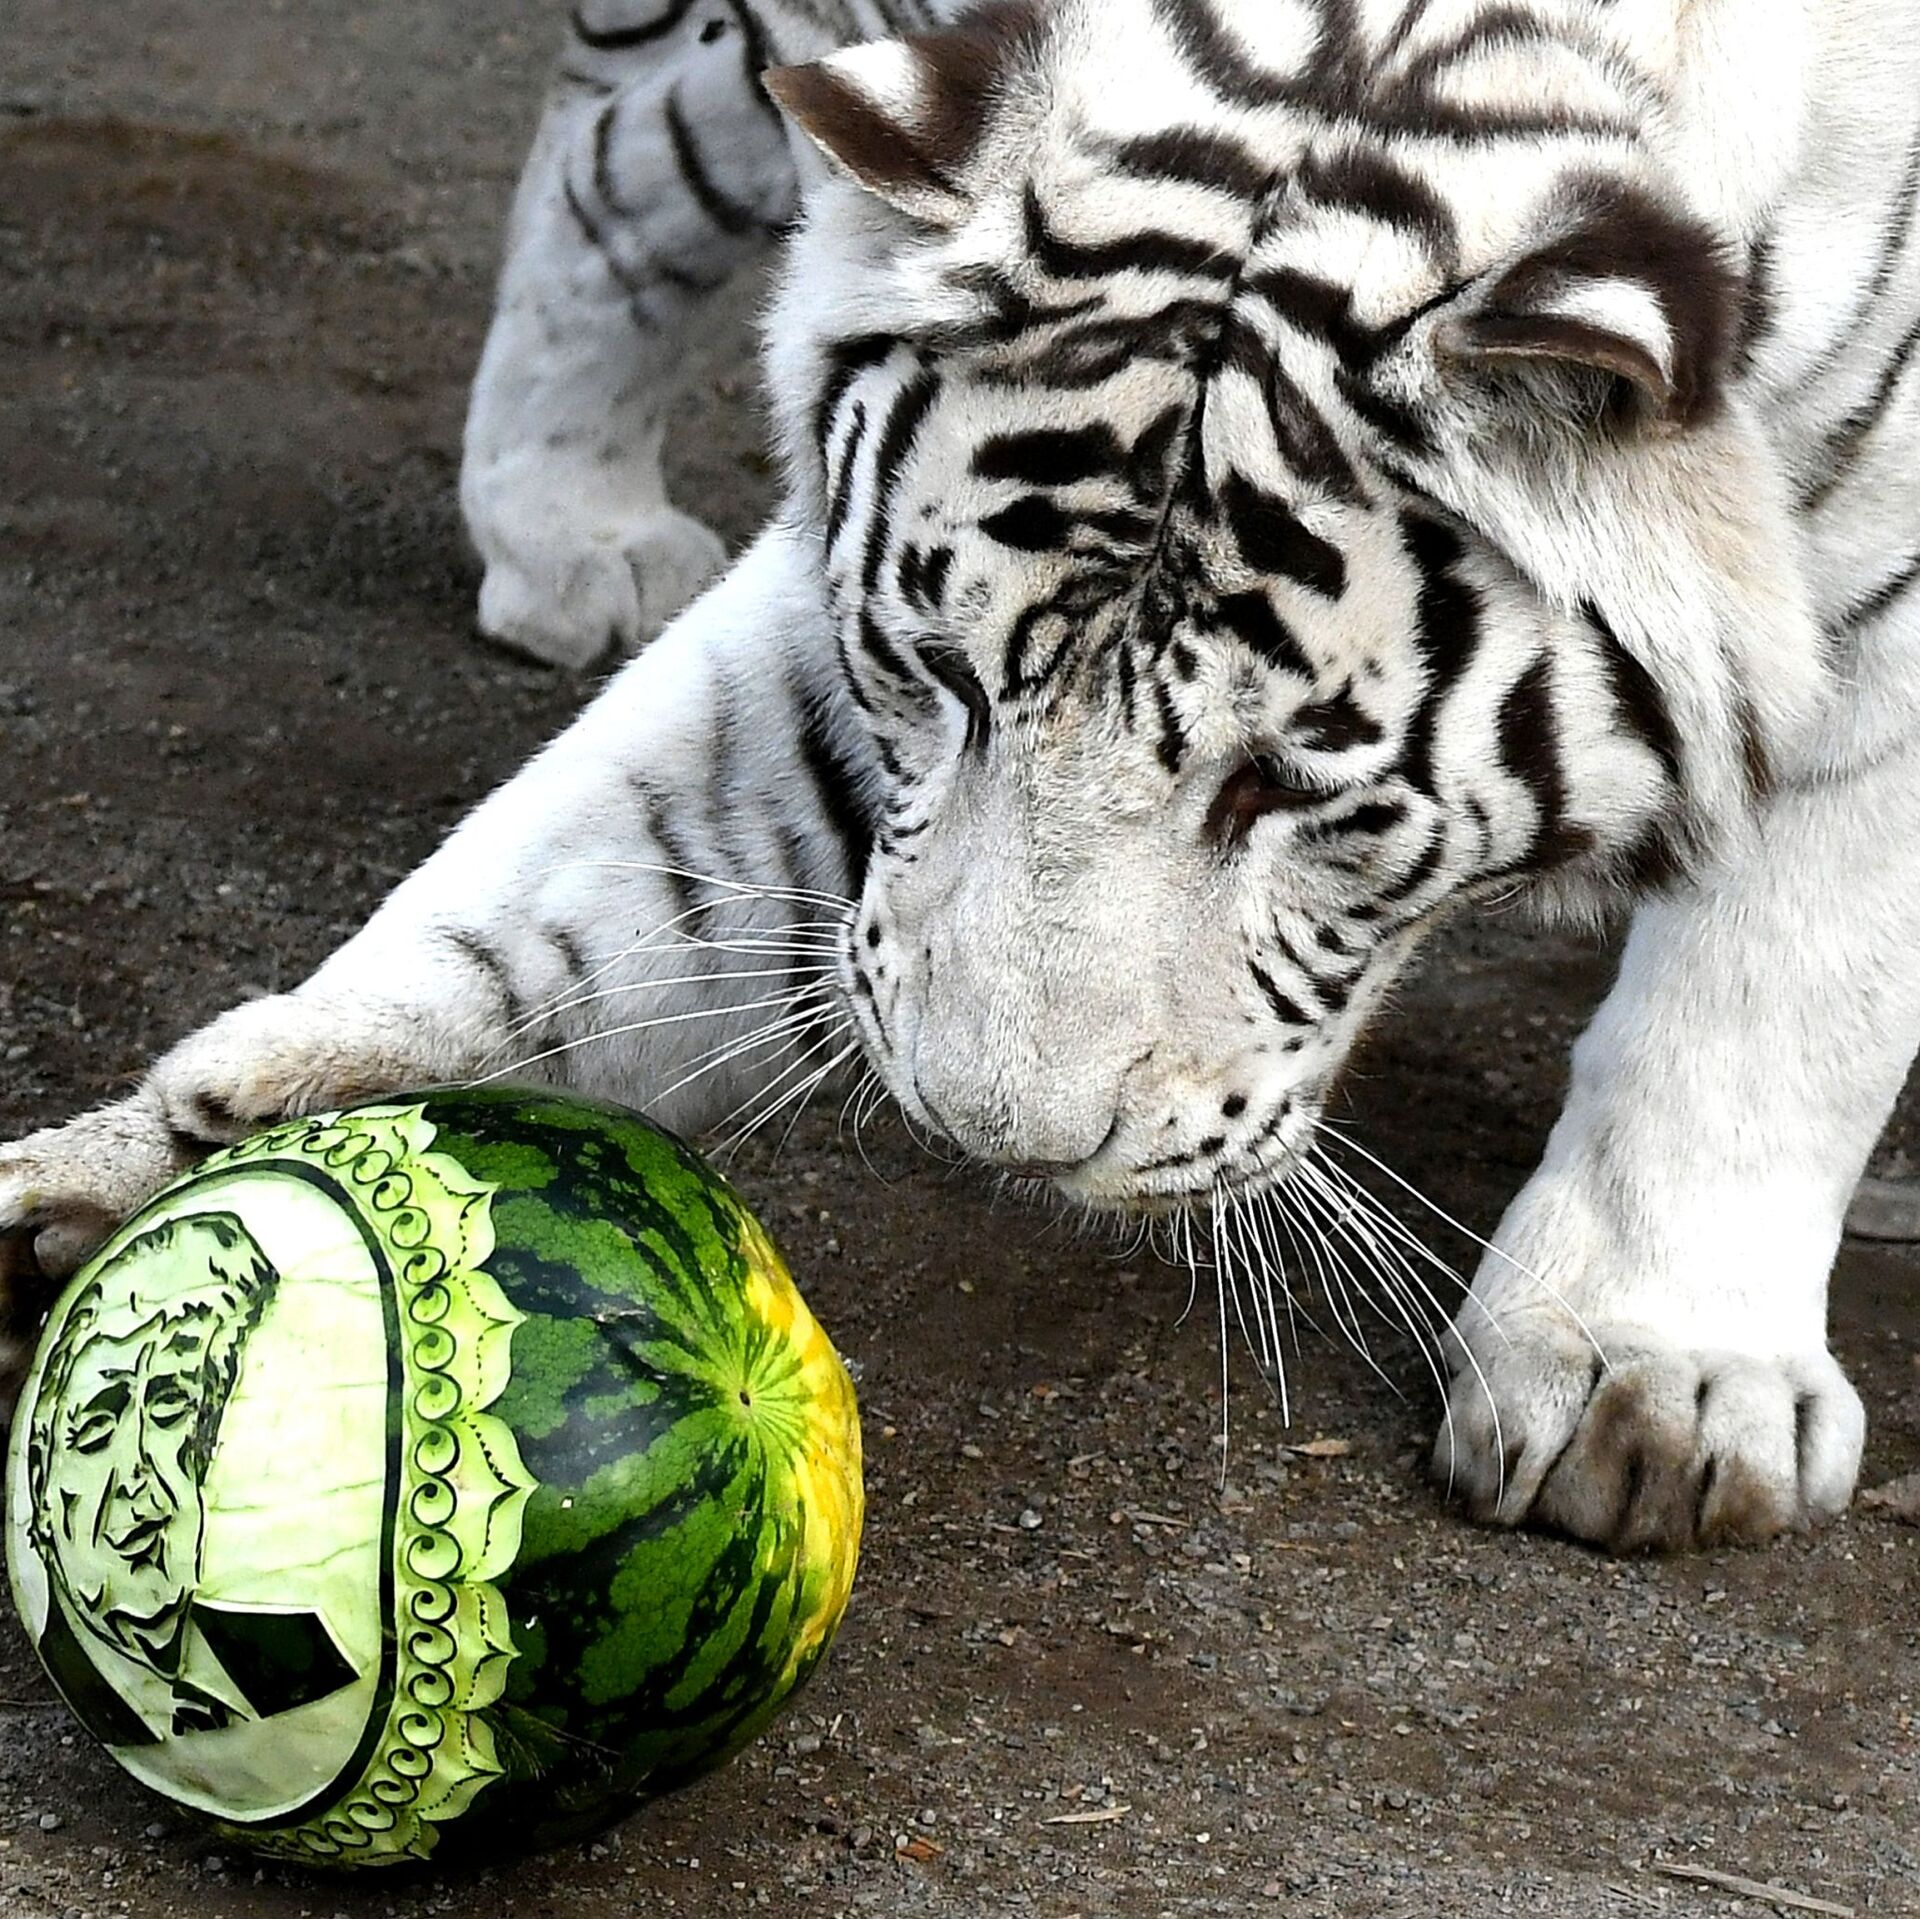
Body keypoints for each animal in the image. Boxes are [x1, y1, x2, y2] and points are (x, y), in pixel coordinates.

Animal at [3, 0, 1918, 1557]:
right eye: (939, 678)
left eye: (1290, 787)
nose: (995, 1135)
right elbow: (581, 872)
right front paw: (192, 1136)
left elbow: (1779, 988)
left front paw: (1651, 1373)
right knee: (625, 147)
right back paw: (564, 525)